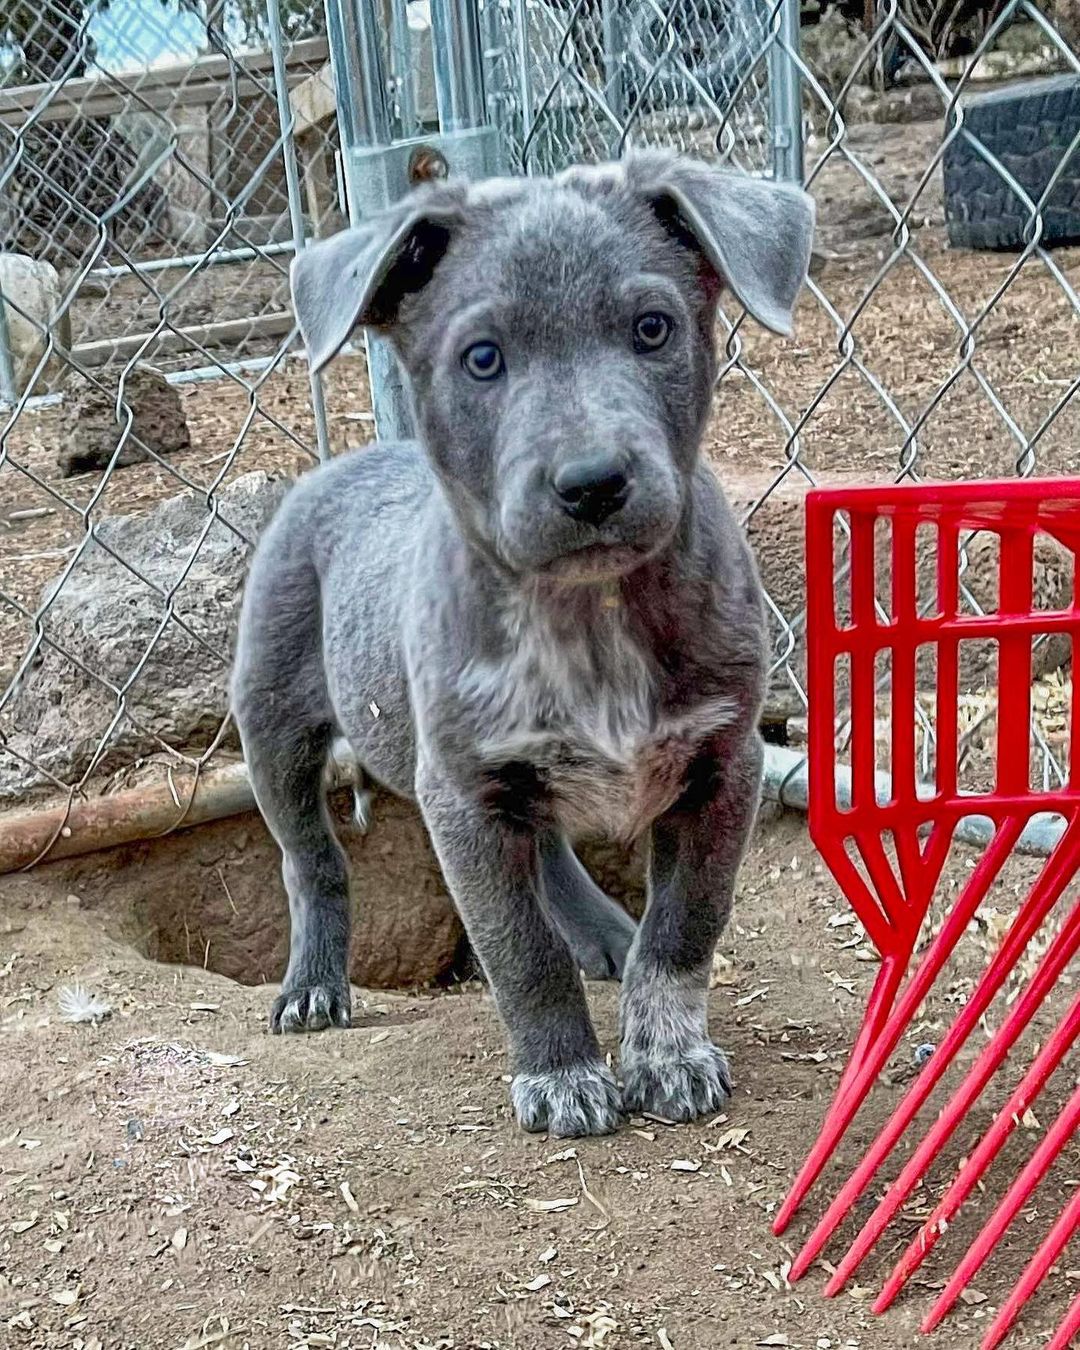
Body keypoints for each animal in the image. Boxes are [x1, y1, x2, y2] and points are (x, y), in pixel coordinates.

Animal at [233, 150, 810, 1139]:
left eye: (652, 329)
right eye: (483, 359)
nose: (593, 483)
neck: (589, 614)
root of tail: (341, 463)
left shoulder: (722, 763)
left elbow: (684, 927)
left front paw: (667, 1053)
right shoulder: (462, 793)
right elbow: (519, 949)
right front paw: (563, 1072)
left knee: (549, 854)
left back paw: (607, 935)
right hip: (272, 720)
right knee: (311, 862)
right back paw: (313, 986)